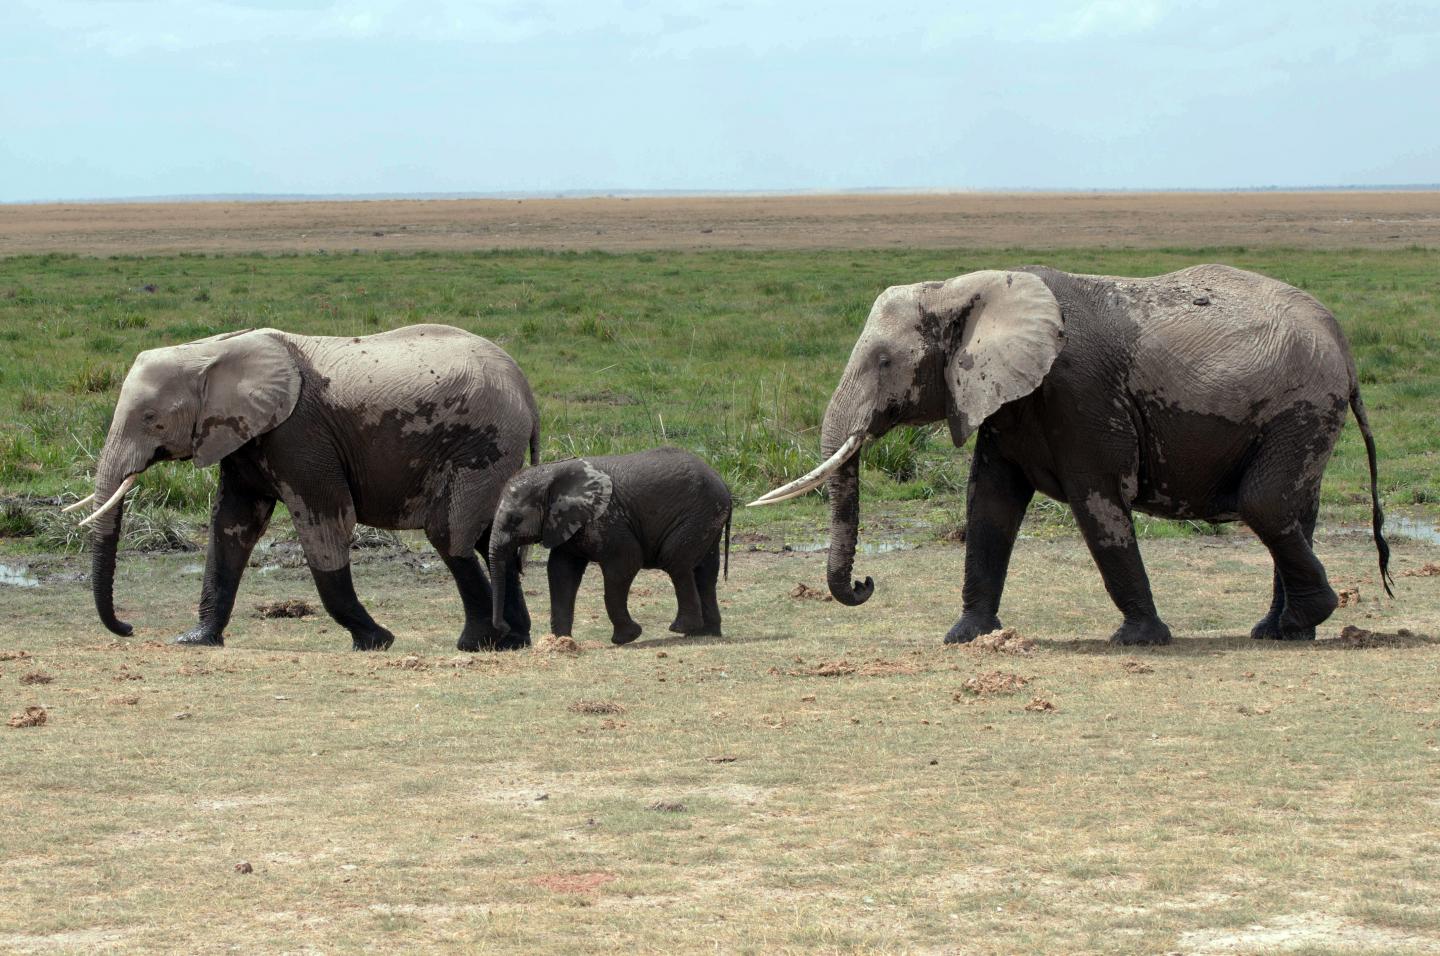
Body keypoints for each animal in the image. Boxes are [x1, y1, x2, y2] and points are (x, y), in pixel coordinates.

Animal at [70, 324, 540, 651]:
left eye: (151, 419)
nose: (129, 628)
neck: (212, 349)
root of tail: (525, 387)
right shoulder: (244, 436)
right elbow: (232, 526)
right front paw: (195, 640)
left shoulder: (299, 436)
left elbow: (325, 522)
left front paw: (375, 641)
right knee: (488, 534)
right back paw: (514, 641)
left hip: (483, 442)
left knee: (449, 533)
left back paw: (474, 643)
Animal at [487, 448, 732, 645]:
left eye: (514, 520)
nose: (504, 629)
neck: (551, 475)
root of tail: (723, 483)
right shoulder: (567, 523)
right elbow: (561, 572)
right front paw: (561, 643)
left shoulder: (606, 518)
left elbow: (624, 564)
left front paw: (626, 638)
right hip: (708, 517)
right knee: (705, 571)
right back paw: (705, 633)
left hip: (698, 514)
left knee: (675, 561)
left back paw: (682, 629)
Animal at [752, 264, 1392, 645]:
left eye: (884, 362)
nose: (865, 583)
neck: (970, 289)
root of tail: (1341, 341)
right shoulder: (1007, 401)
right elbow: (989, 508)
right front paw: (967, 636)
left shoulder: (1079, 397)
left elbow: (1098, 506)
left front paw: (1140, 640)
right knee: (1292, 511)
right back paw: (1280, 630)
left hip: (1301, 407)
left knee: (1264, 504)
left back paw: (1305, 619)